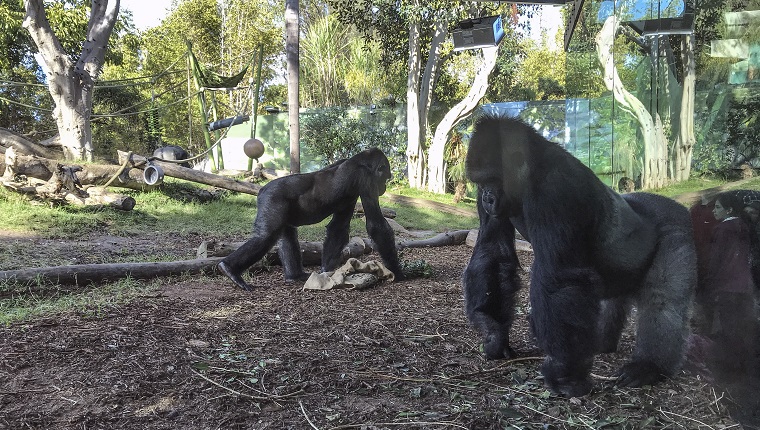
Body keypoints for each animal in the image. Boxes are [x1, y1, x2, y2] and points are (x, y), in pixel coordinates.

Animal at [217, 149, 404, 292]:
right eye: (385, 176)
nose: (384, 187)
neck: (359, 160)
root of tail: (262, 189)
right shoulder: (366, 179)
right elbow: (376, 225)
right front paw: (397, 271)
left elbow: (338, 228)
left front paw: (327, 272)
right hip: (272, 198)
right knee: (266, 236)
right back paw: (230, 269)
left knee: (287, 233)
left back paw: (295, 276)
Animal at [460, 114, 696, 396]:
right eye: (480, 183)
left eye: (494, 179)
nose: (487, 197)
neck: (532, 168)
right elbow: (493, 252)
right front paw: (494, 332)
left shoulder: (556, 188)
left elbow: (559, 278)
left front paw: (564, 373)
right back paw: (600, 343)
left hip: (678, 227)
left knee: (662, 300)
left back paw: (650, 366)